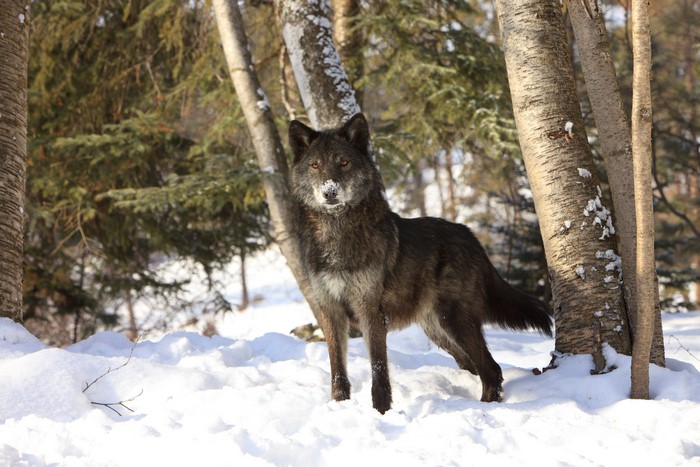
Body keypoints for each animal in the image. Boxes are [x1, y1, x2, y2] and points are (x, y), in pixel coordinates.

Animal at [289, 113, 552, 414]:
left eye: (344, 162)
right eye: (315, 165)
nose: (329, 192)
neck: (337, 233)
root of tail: (470, 235)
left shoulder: (370, 311)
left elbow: (379, 370)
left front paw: (381, 413)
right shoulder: (330, 312)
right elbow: (337, 371)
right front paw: (340, 405)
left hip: (454, 321)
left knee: (492, 369)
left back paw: (484, 408)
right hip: (438, 330)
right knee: (476, 366)